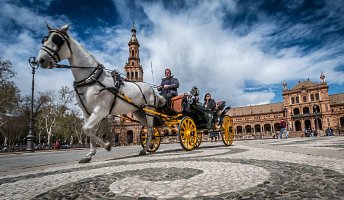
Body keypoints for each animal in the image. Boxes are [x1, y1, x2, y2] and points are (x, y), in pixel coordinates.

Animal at [37, 24, 166, 163]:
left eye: (57, 40)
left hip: (149, 110)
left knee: (151, 128)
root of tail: (152, 89)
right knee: (147, 128)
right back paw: (147, 147)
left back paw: (145, 149)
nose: (41, 60)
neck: (91, 78)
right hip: (139, 112)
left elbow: (86, 129)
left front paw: (107, 146)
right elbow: (89, 130)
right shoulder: (88, 113)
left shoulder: (101, 110)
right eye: (44, 39)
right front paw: (89, 154)